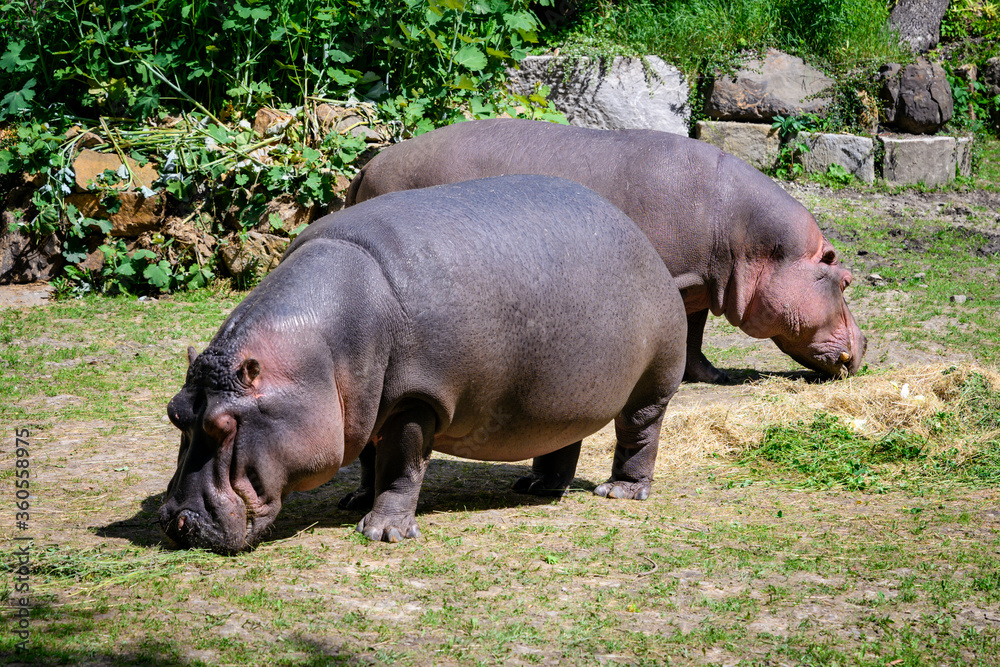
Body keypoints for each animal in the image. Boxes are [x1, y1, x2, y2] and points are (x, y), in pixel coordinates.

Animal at [160, 174, 688, 552]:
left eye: (225, 426)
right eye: (174, 413)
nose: (174, 521)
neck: (318, 355)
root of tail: (641, 236)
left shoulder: (415, 400)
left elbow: (401, 463)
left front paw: (382, 532)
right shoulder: (364, 402)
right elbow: (370, 458)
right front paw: (355, 499)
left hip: (653, 382)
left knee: (640, 431)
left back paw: (620, 492)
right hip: (561, 394)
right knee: (563, 438)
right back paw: (536, 486)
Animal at [350, 117, 868, 384]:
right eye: (844, 279)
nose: (864, 347)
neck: (745, 235)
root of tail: (370, 164)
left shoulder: (703, 282)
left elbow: (695, 333)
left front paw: (710, 375)